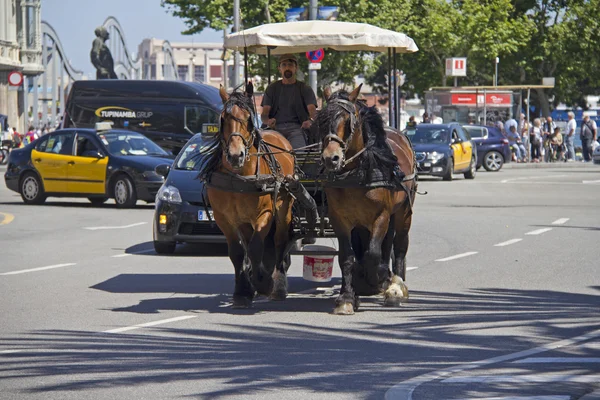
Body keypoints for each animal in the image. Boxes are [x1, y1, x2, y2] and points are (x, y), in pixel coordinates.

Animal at [200, 86, 296, 308]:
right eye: (223, 118)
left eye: (249, 119)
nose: (236, 155)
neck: (240, 176)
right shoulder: (224, 218)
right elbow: (237, 252)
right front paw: (243, 291)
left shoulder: (266, 213)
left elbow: (255, 248)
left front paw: (263, 282)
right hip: (243, 220)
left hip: (284, 209)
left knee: (279, 242)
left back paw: (278, 285)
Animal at [318, 85, 418, 316]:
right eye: (321, 120)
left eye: (348, 121)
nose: (331, 158)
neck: (356, 173)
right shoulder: (340, 219)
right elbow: (346, 256)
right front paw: (346, 297)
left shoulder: (381, 216)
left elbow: (373, 253)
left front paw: (379, 277)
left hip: (403, 211)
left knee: (399, 245)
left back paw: (396, 286)